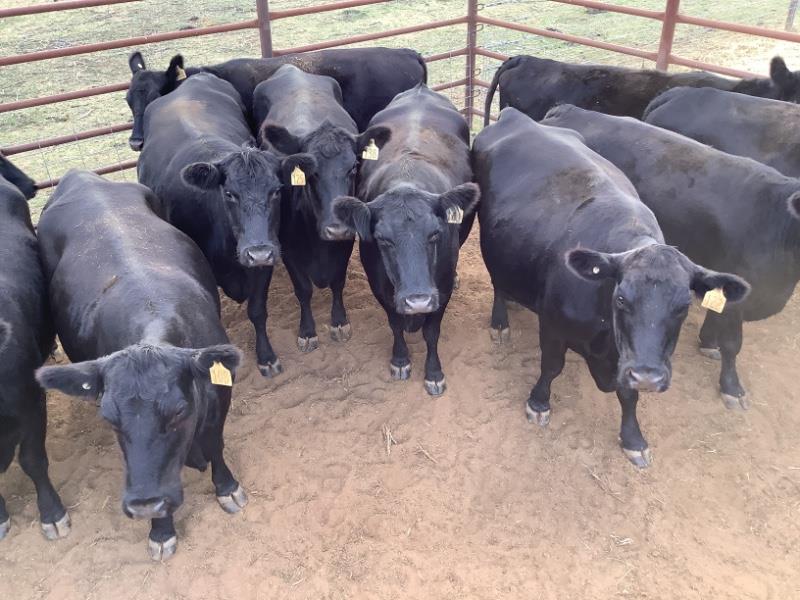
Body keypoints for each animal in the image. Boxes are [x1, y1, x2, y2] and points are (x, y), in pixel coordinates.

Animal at [35, 171, 247, 561]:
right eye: (109, 418)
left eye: (179, 412)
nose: (145, 504)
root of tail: (81, 176)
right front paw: (161, 530)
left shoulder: (220, 393)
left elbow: (215, 442)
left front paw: (227, 487)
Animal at [138, 72, 314, 376]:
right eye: (230, 193)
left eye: (276, 191)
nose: (258, 252)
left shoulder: (264, 264)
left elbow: (257, 310)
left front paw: (267, 357)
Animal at [253, 65, 391, 351]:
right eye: (310, 171)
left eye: (353, 167)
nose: (336, 228)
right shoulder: (289, 249)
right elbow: (303, 290)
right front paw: (307, 331)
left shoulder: (346, 241)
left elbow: (338, 280)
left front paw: (339, 321)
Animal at [332, 84, 478, 396]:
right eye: (383, 240)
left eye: (435, 233)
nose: (418, 300)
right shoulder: (379, 286)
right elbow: (395, 323)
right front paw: (400, 360)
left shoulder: (440, 289)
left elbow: (431, 332)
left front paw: (434, 373)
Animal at [474, 108, 749, 467]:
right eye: (621, 299)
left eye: (683, 306)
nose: (649, 377)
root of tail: (516, 116)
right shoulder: (553, 326)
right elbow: (552, 366)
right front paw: (539, 402)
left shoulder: (628, 359)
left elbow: (629, 395)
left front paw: (633, 438)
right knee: (498, 283)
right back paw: (500, 322)